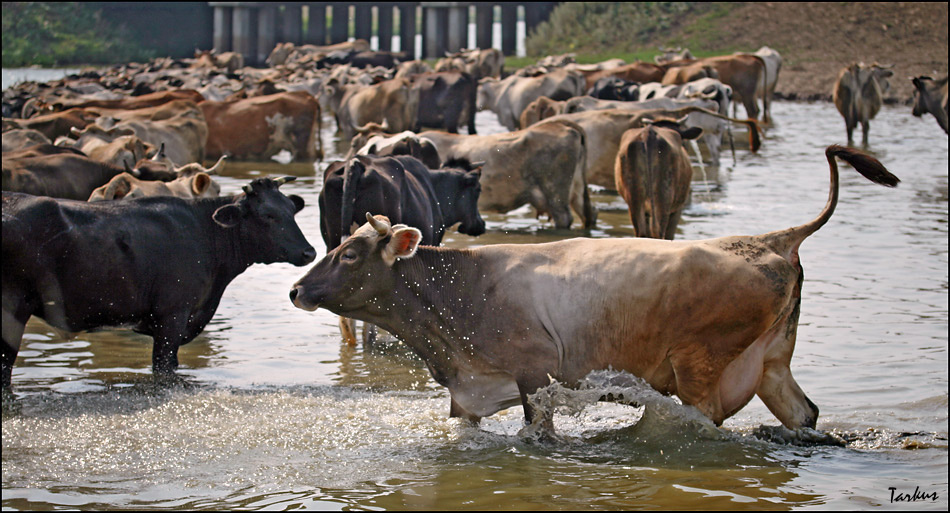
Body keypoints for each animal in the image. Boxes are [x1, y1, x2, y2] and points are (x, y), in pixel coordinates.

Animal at [2, 177, 315, 388]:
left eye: (291, 210)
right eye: (267, 215)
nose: (309, 252)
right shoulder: (172, 316)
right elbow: (164, 367)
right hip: (13, 308)